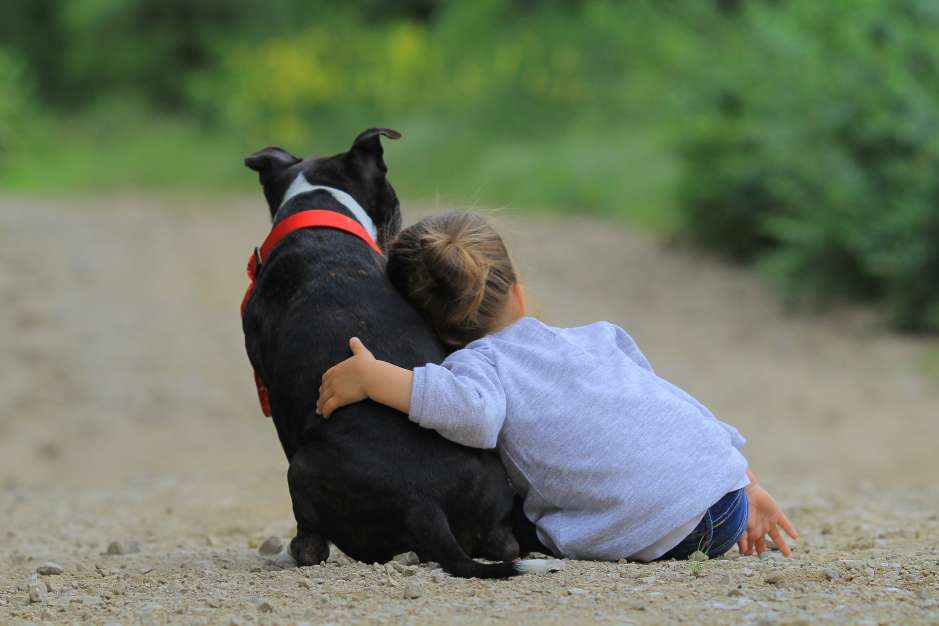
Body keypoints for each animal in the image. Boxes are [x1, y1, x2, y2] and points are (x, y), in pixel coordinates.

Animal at [242, 129, 556, 576]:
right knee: (503, 543)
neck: (318, 210)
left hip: (300, 470)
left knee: (313, 545)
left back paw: (294, 551)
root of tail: (424, 503)